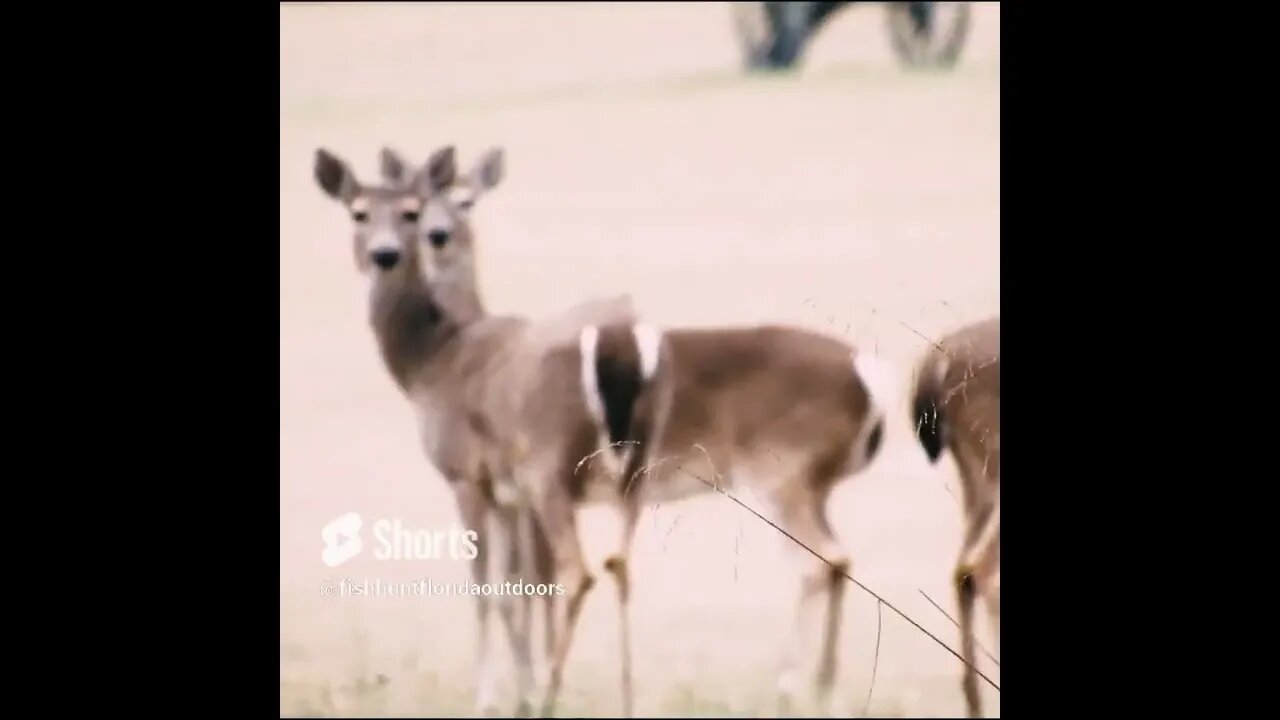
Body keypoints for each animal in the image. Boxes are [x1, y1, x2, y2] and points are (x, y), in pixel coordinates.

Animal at [312, 143, 657, 717]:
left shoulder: (466, 474)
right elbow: (515, 587)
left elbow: (487, 587)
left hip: (550, 466)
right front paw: (522, 687)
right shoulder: (507, 492)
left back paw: (553, 698)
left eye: (409, 212)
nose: (386, 254)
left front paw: (492, 696)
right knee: (618, 566)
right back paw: (622, 698)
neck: (434, 362)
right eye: (358, 212)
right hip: (628, 468)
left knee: (578, 571)